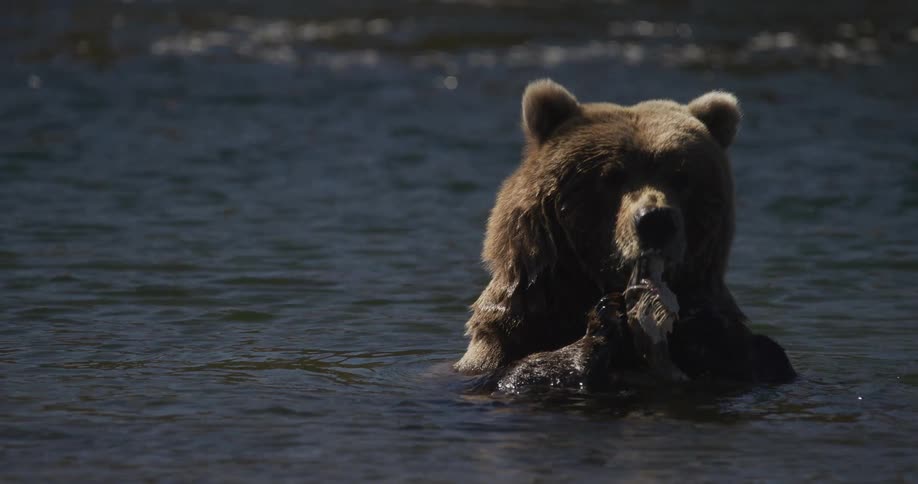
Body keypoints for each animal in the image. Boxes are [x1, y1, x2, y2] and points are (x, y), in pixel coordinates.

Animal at [456, 79, 795, 384]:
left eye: (681, 176)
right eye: (611, 176)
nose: (656, 220)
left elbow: (753, 351)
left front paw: (699, 326)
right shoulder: (508, 337)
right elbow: (516, 371)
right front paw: (603, 320)